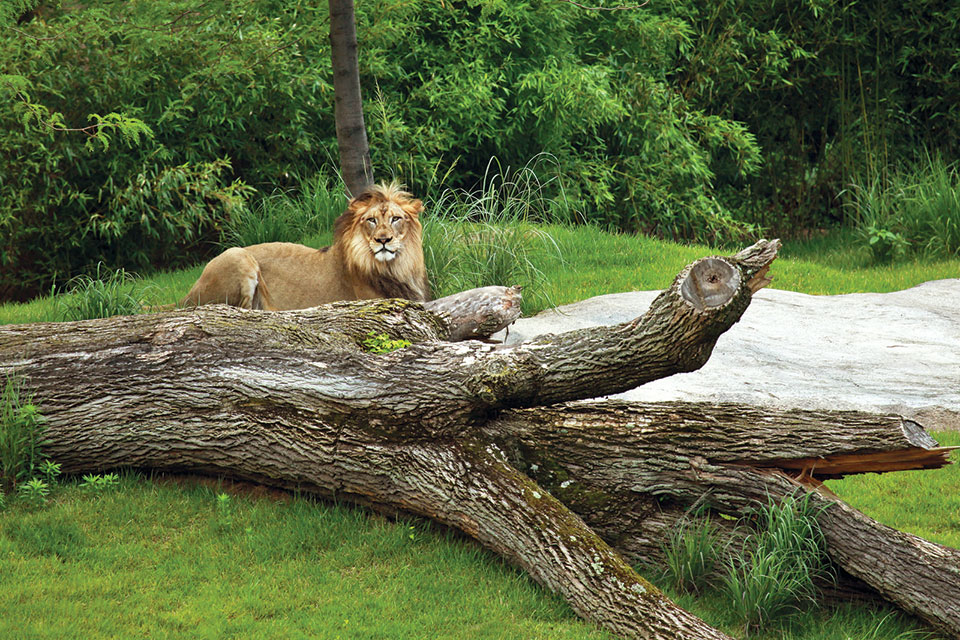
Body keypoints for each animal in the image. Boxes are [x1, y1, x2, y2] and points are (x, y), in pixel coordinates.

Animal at [179, 181, 432, 312]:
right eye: (371, 220)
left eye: (395, 219)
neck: (394, 267)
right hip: (238, 256)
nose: (383, 240)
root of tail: (186, 297)